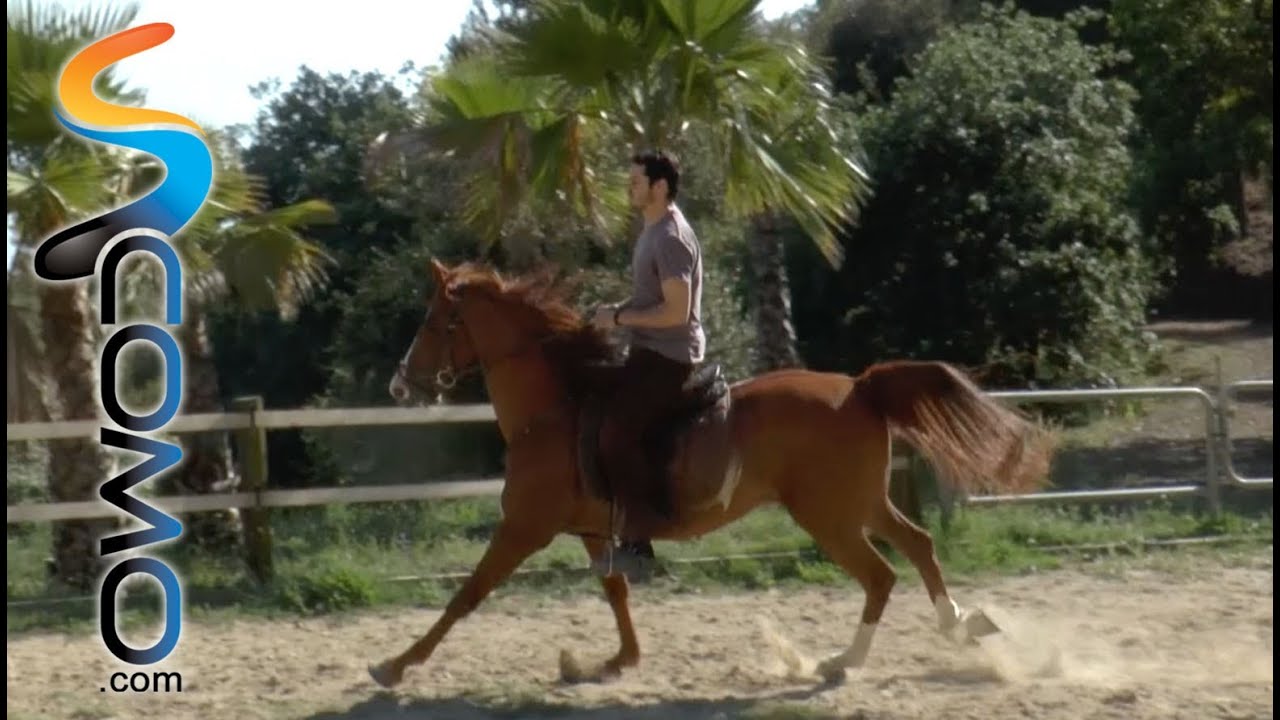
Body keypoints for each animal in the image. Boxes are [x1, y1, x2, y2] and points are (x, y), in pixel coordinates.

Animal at [369, 257, 1054, 688]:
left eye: (433, 321)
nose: (399, 383)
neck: (557, 406)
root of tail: (859, 388)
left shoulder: (523, 528)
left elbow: (467, 594)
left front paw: (394, 666)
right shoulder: (590, 530)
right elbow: (615, 593)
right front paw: (617, 660)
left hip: (830, 517)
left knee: (882, 574)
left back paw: (841, 662)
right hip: (861, 504)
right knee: (919, 544)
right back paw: (959, 626)